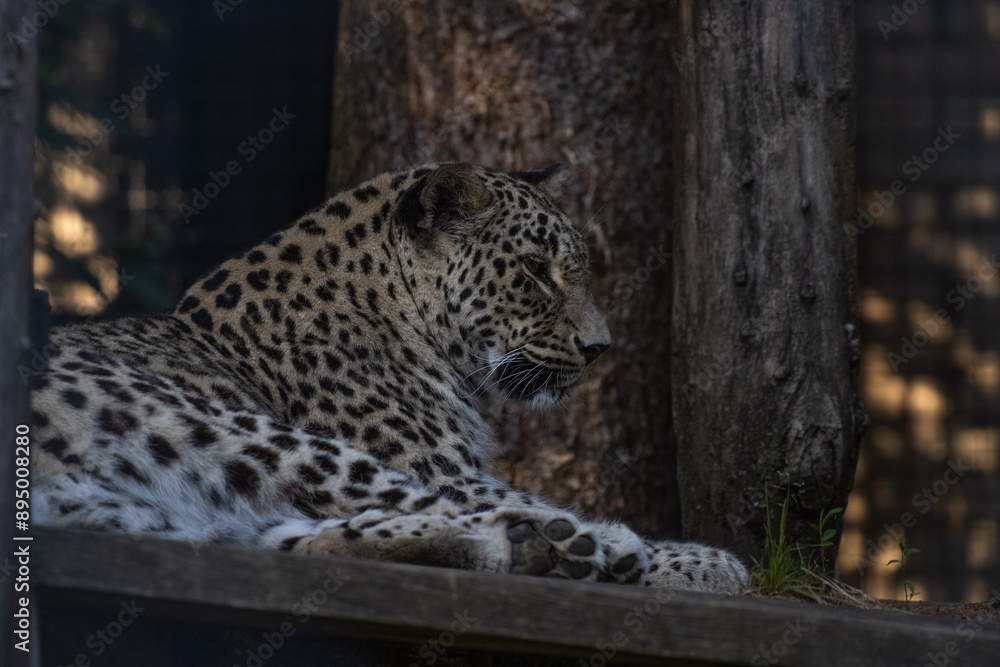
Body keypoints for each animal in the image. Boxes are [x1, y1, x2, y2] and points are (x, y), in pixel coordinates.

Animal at [30, 162, 747, 593]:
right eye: (536, 270)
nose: (599, 348)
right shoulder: (447, 469)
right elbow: (473, 491)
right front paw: (695, 557)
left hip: (165, 508)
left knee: (301, 541)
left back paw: (536, 549)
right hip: (212, 425)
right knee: (420, 506)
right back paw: (600, 544)